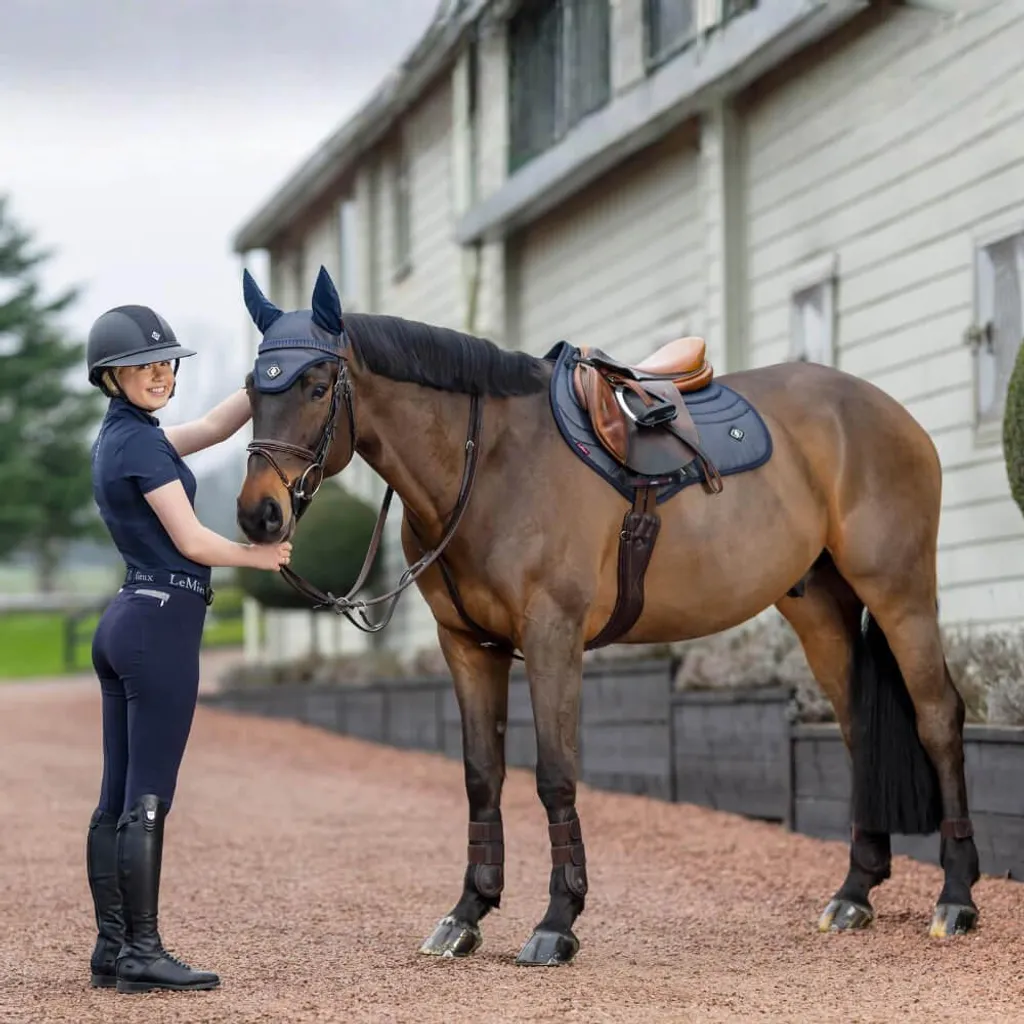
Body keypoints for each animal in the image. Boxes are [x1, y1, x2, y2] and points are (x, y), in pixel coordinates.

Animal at [235, 264, 979, 966]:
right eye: (252, 388)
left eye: (317, 386)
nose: (258, 513)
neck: (493, 463)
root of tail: (889, 413)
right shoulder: (468, 645)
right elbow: (482, 776)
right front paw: (468, 912)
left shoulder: (552, 636)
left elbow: (554, 774)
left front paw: (556, 922)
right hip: (821, 608)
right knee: (859, 730)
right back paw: (855, 893)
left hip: (900, 591)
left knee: (938, 717)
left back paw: (957, 897)